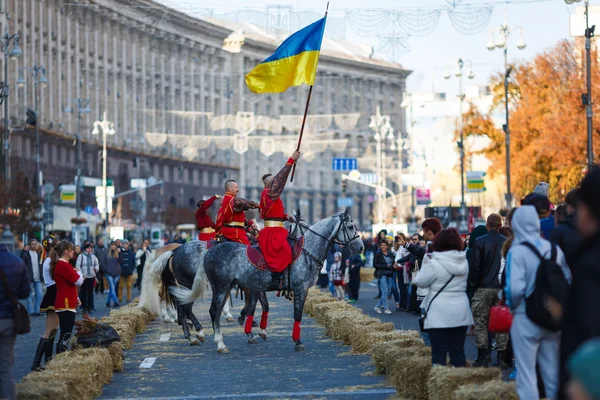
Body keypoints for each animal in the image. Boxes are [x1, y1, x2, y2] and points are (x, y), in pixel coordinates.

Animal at [170, 211, 366, 352]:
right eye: (350, 226)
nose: (361, 247)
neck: (305, 251)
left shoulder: (259, 288)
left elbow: (259, 307)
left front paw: (255, 331)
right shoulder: (299, 289)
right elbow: (296, 314)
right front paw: (297, 341)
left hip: (224, 287)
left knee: (199, 309)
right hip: (218, 287)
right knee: (207, 310)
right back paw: (215, 341)